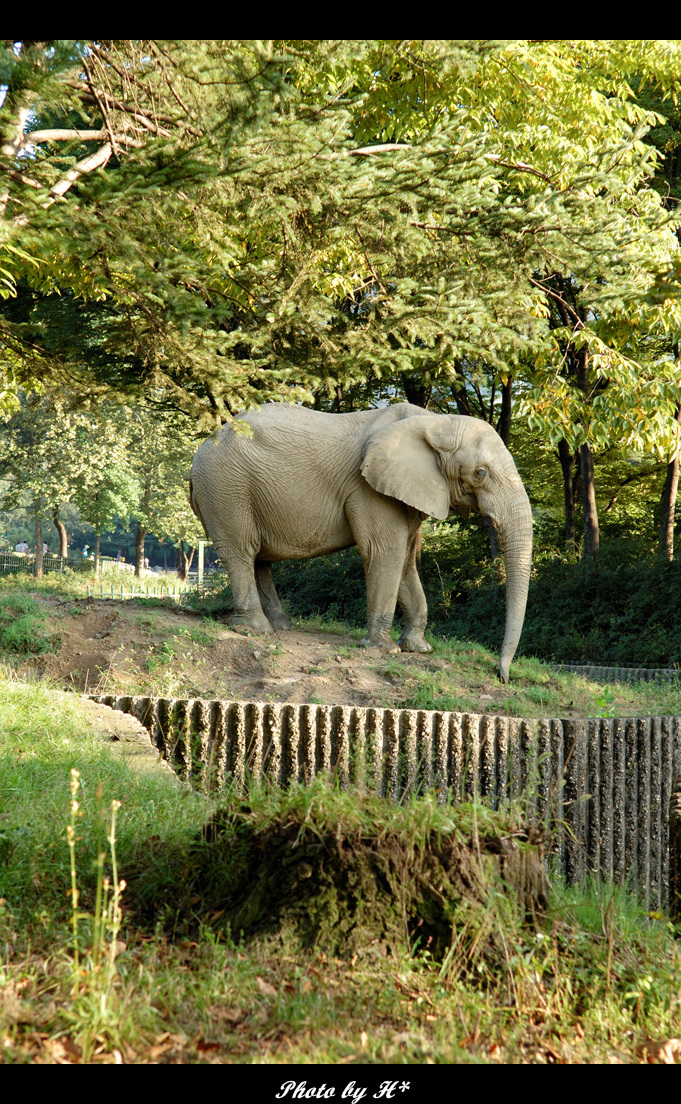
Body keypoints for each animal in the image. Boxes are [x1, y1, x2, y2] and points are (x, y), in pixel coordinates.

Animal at [189, 406, 531, 680]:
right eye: (480, 473)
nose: (502, 676)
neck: (434, 421)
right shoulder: (368, 489)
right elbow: (384, 552)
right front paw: (384, 649)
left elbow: (404, 561)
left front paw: (419, 649)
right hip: (226, 488)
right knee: (242, 552)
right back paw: (256, 630)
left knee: (260, 559)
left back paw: (282, 626)